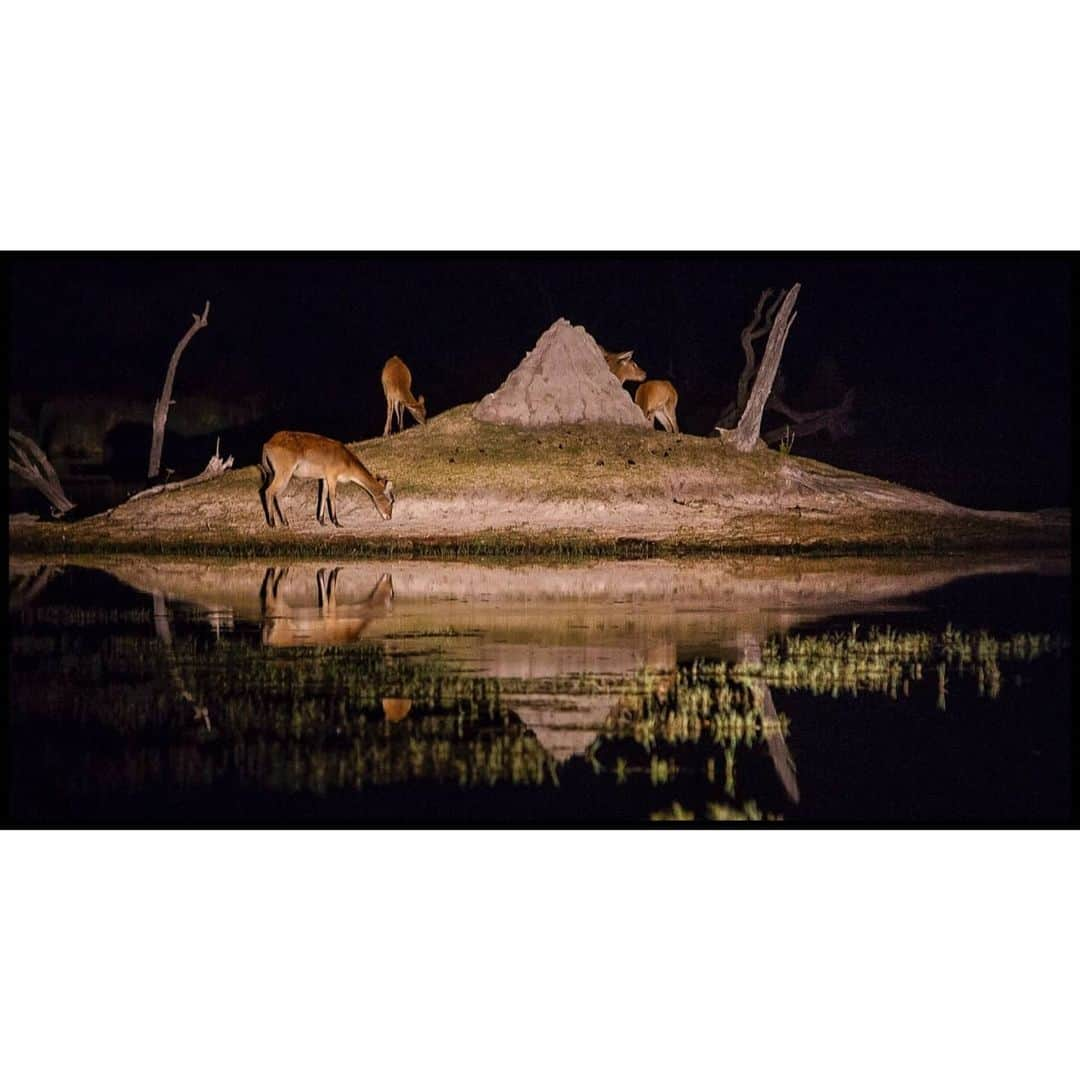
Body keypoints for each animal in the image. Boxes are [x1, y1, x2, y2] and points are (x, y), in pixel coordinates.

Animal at [259, 432, 395, 529]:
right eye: (391, 501)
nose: (389, 517)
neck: (347, 461)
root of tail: (267, 444)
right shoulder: (332, 477)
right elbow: (332, 496)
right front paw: (337, 522)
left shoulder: (324, 478)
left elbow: (323, 495)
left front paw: (322, 521)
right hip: (284, 473)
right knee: (269, 491)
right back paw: (272, 524)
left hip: (279, 474)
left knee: (277, 494)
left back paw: (285, 522)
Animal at [259, 570, 395, 643]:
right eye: (392, 591)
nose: (390, 575)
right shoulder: (333, 613)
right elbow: (330, 593)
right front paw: (331, 572)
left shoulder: (330, 611)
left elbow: (326, 596)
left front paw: (324, 573)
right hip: (281, 610)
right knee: (274, 589)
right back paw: (281, 572)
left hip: (280, 609)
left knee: (271, 592)